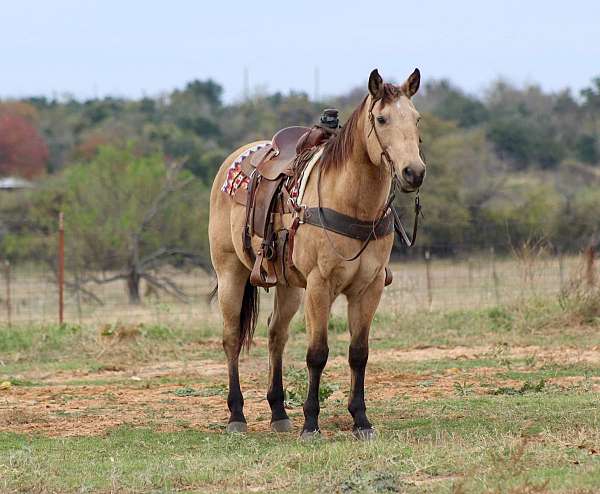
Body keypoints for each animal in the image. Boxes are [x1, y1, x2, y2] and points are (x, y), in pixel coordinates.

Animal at [209, 67, 424, 438]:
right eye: (382, 119)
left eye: (416, 118)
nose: (414, 172)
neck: (352, 203)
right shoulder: (320, 286)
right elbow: (317, 353)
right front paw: (311, 423)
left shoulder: (369, 289)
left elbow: (359, 353)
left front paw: (361, 420)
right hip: (230, 274)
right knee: (232, 338)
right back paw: (237, 415)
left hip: (289, 287)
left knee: (275, 335)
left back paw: (279, 412)